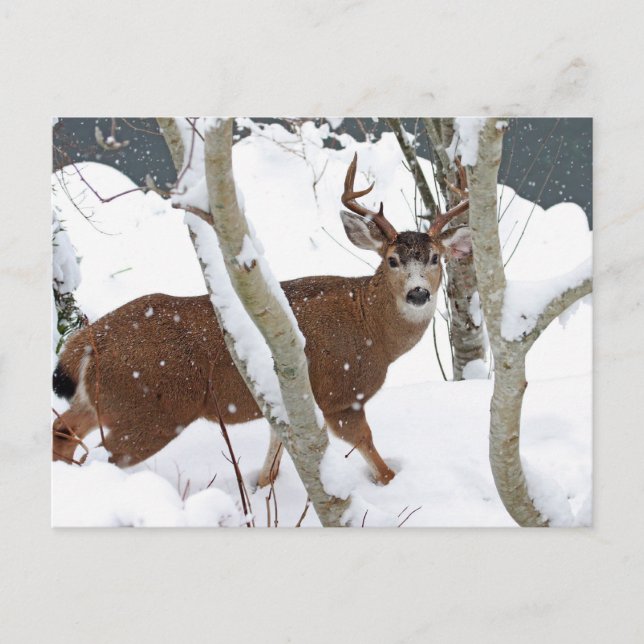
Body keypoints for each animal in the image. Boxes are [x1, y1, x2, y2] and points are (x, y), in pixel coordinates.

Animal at [52, 153, 472, 487]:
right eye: (392, 260)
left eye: (435, 258)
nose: (418, 293)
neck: (371, 330)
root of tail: (83, 344)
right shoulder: (340, 395)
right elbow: (369, 449)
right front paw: (392, 484)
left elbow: (274, 457)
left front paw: (261, 488)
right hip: (150, 411)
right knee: (101, 457)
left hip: (101, 403)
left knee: (63, 432)